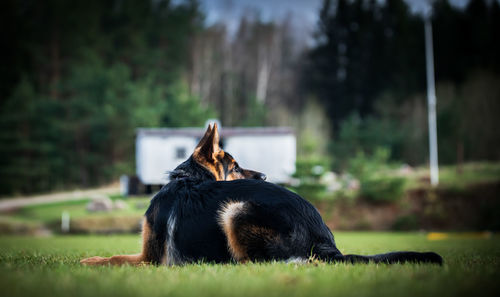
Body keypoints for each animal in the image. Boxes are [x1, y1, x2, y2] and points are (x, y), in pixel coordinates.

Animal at [80, 123, 444, 264]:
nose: (265, 176)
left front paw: (87, 261)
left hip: (235, 210)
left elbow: (113, 258)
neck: (187, 179)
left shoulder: (150, 259)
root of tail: (324, 240)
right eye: (236, 166)